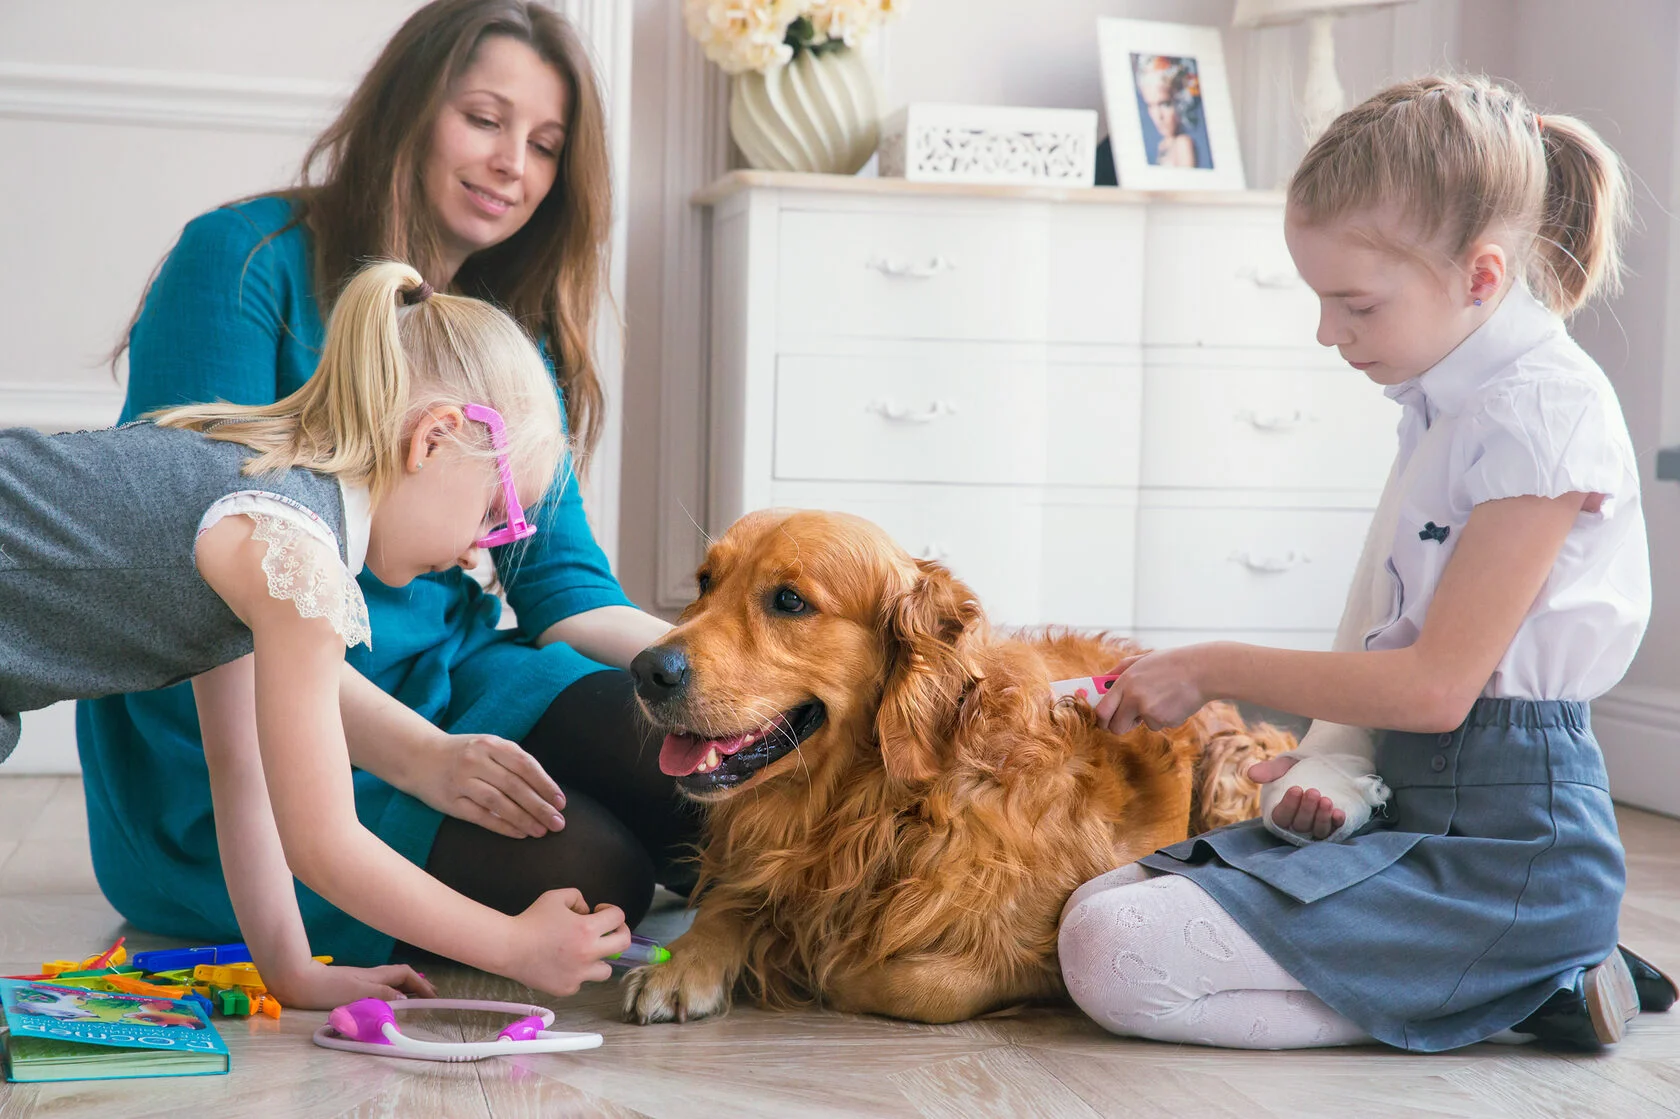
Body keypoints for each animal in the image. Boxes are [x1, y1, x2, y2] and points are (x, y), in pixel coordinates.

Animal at [624, 510, 1290, 1021]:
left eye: (789, 600)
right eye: (704, 582)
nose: (646, 669)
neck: (875, 806)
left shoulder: (1040, 942)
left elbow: (906, 981)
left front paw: (819, 963)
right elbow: (728, 903)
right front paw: (681, 965)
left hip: (1235, 764)